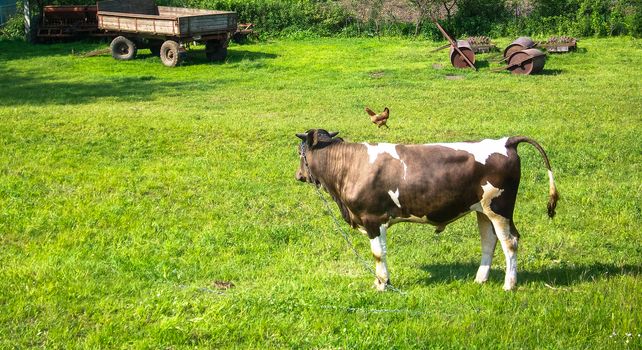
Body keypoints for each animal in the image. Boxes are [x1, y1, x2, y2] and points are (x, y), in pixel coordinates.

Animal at [294, 130, 556, 292]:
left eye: (299, 152)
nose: (298, 175)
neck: (349, 166)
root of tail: (505, 141)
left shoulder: (372, 219)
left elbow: (378, 254)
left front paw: (382, 284)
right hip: (483, 210)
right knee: (489, 242)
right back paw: (480, 279)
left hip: (499, 208)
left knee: (510, 242)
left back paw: (509, 285)